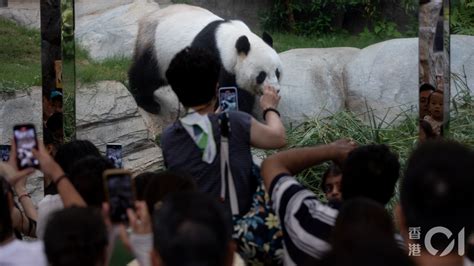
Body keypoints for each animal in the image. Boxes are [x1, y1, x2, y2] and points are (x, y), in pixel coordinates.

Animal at [130, 4, 282, 114]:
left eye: (277, 72)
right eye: (261, 75)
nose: (275, 90)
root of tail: (146, 18)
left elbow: (239, 92)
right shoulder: (211, 56)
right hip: (156, 47)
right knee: (147, 75)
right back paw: (148, 103)